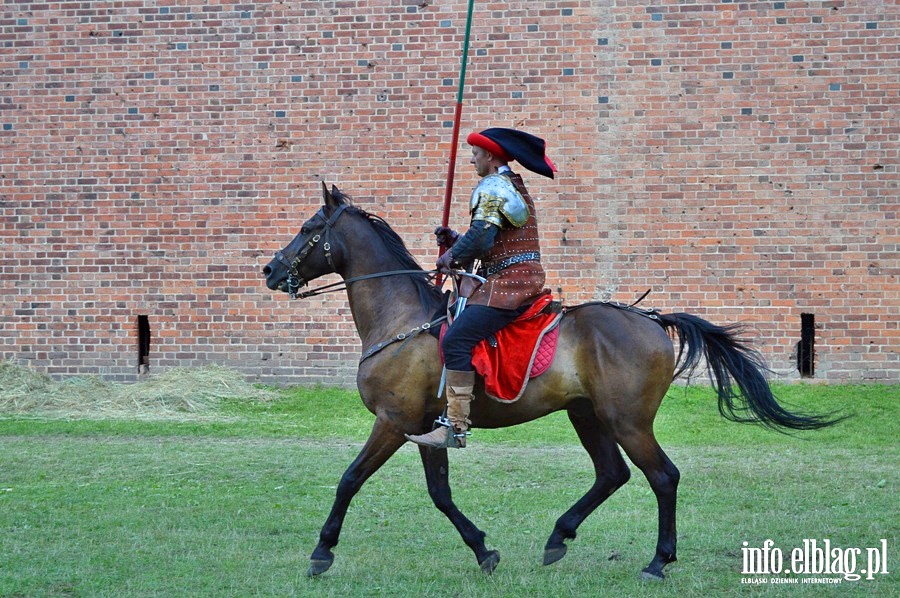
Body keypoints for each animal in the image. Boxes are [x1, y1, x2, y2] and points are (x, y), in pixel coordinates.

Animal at [264, 186, 840, 580]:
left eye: (310, 227)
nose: (270, 270)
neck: (402, 318)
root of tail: (651, 320)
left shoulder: (393, 421)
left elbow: (349, 479)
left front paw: (322, 551)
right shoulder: (425, 428)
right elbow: (441, 494)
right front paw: (483, 549)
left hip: (628, 422)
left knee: (663, 477)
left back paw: (657, 561)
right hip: (587, 414)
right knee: (612, 474)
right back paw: (560, 536)